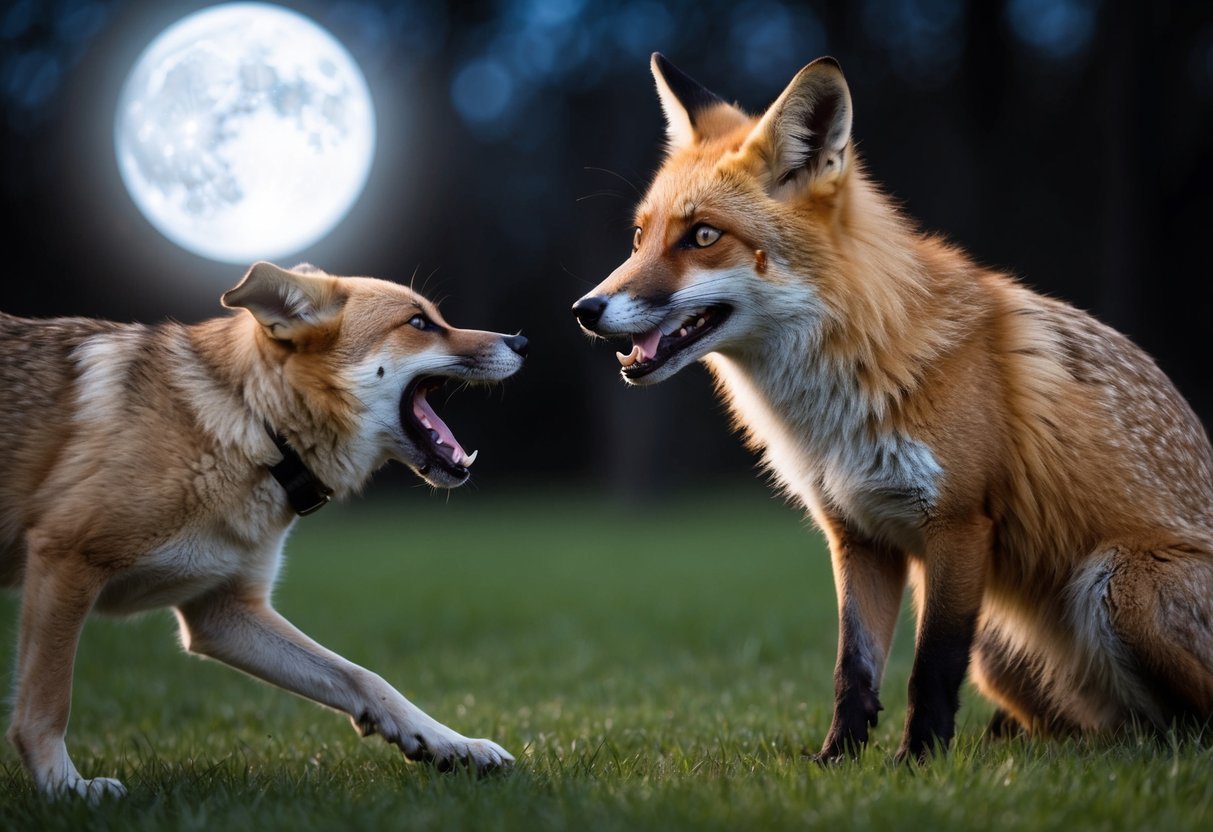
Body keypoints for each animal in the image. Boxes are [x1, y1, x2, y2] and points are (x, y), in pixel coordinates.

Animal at [2, 261, 526, 799]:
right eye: (419, 323)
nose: (523, 340)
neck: (256, 426)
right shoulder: (65, 558)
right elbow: (47, 703)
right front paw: (64, 787)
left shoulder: (220, 611)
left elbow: (364, 678)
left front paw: (451, 744)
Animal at [572, 53, 1213, 761]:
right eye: (639, 237)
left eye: (703, 235)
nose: (584, 310)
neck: (846, 394)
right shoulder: (858, 534)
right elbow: (853, 667)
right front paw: (837, 760)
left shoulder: (959, 524)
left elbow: (930, 664)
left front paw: (919, 763)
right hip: (1003, 649)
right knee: (1111, 727)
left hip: (1118, 585)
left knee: (1185, 724)